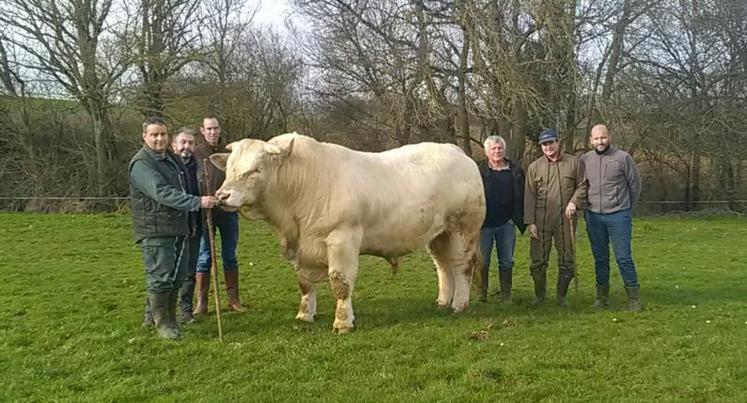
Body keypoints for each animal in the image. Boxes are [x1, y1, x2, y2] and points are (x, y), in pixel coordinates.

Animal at [212, 134, 486, 332]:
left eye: (256, 169)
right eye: (229, 168)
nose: (221, 196)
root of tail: (456, 151)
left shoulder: (342, 238)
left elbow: (340, 282)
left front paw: (343, 323)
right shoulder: (303, 249)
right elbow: (304, 283)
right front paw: (304, 315)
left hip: (463, 228)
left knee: (462, 266)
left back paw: (459, 304)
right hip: (438, 234)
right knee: (443, 265)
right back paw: (442, 301)